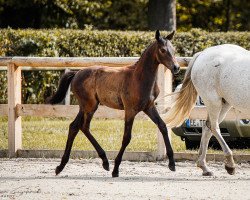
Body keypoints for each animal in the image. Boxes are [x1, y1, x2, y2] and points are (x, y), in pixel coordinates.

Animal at [47, 29, 180, 177]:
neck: (139, 78)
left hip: (85, 106)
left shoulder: (149, 107)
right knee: (83, 126)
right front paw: (116, 169)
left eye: (173, 50)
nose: (176, 68)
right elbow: (127, 137)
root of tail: (76, 74)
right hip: (89, 106)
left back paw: (64, 166)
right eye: (163, 50)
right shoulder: (130, 110)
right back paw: (102, 162)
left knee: (76, 126)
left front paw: (172, 164)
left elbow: (163, 126)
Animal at [165, 44, 249, 176]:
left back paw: (204, 167)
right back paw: (230, 165)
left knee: (206, 127)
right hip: (214, 102)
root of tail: (203, 54)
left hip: (224, 104)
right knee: (213, 127)